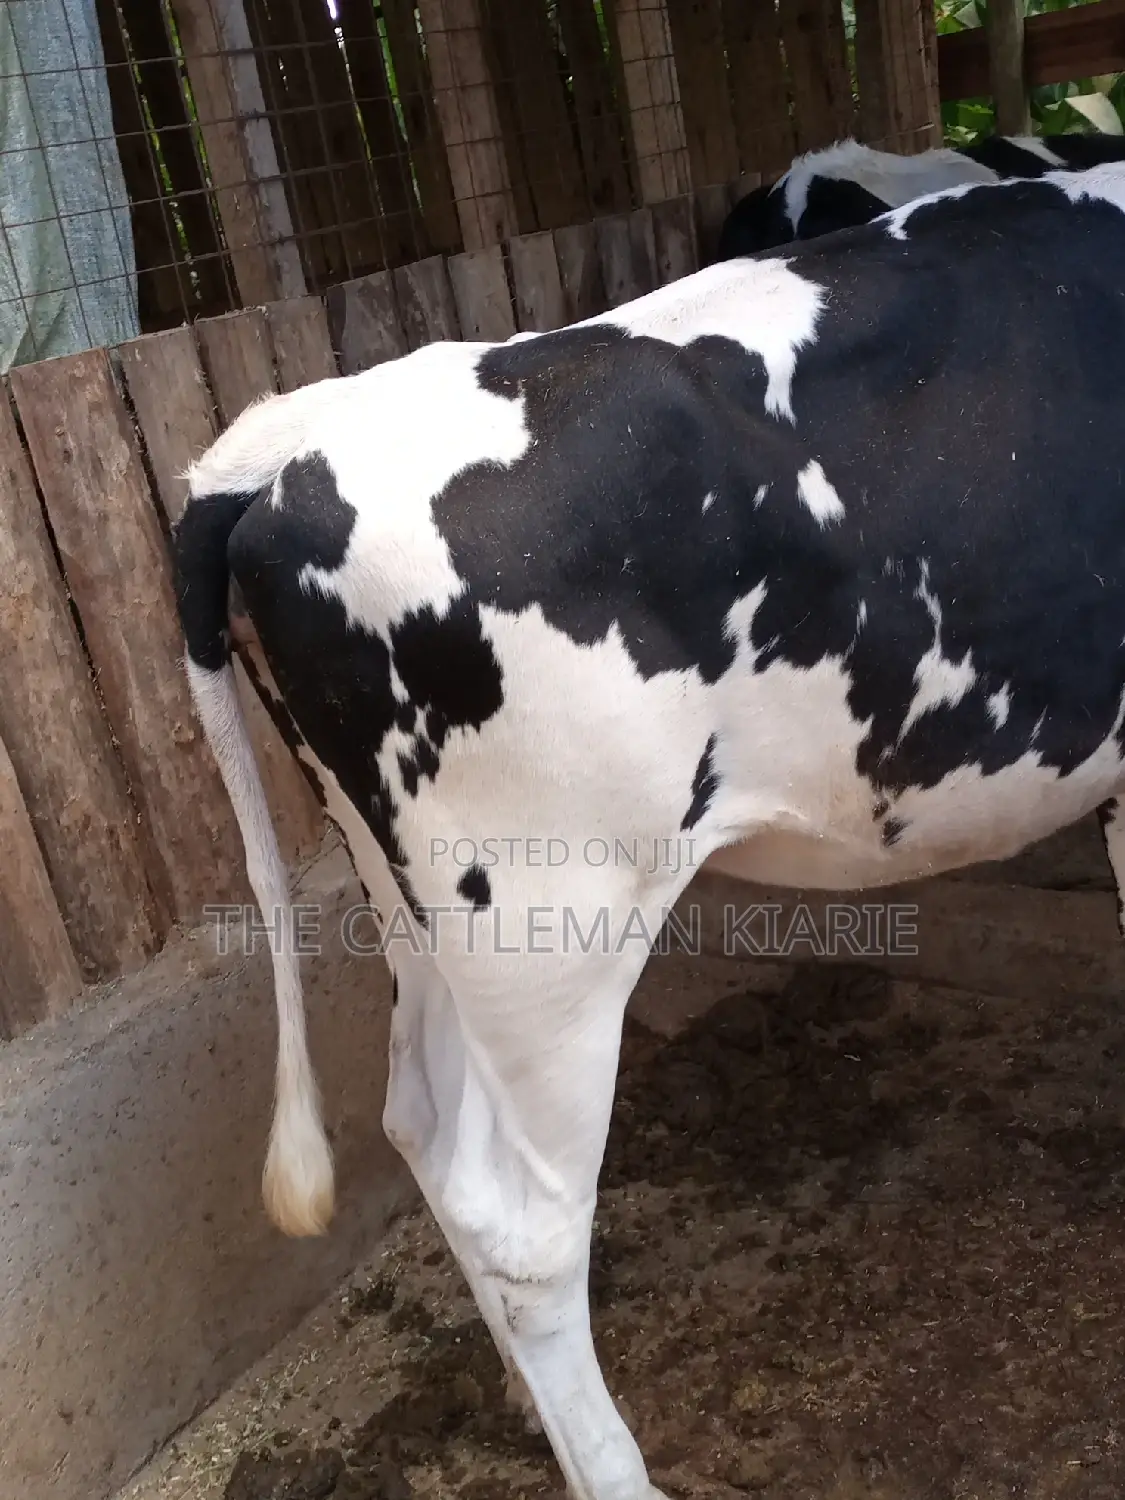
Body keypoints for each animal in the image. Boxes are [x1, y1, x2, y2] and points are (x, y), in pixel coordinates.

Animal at [172, 161, 1125, 1500]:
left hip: (407, 888)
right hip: (548, 914)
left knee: (421, 1117)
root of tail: (276, 445)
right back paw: (611, 1471)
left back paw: (529, 1412)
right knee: (521, 1222)